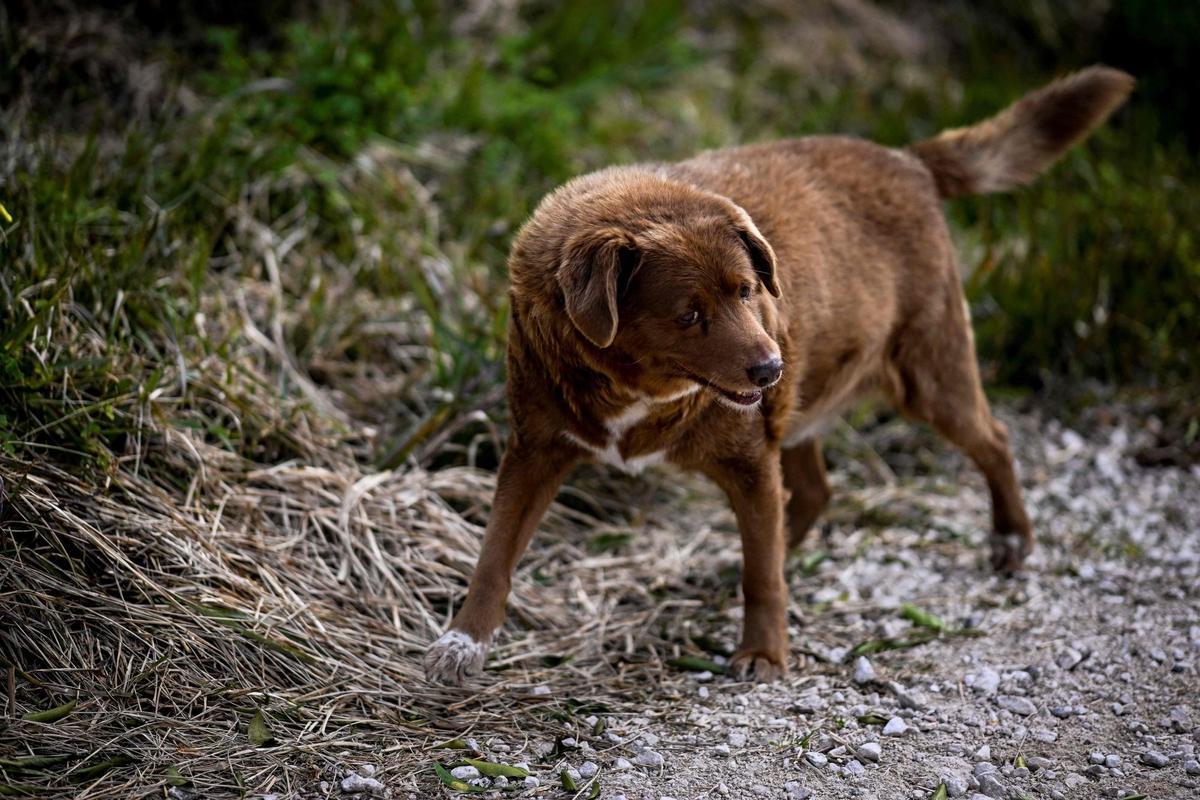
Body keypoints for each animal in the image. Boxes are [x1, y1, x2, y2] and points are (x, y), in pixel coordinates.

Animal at [424, 65, 1132, 686]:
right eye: (689, 314)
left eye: (746, 290)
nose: (770, 367)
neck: (638, 390)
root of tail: (907, 160)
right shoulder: (535, 449)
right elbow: (494, 552)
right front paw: (462, 640)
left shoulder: (748, 458)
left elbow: (761, 575)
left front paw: (763, 653)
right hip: (805, 404)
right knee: (812, 492)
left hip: (927, 373)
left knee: (992, 440)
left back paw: (1011, 539)